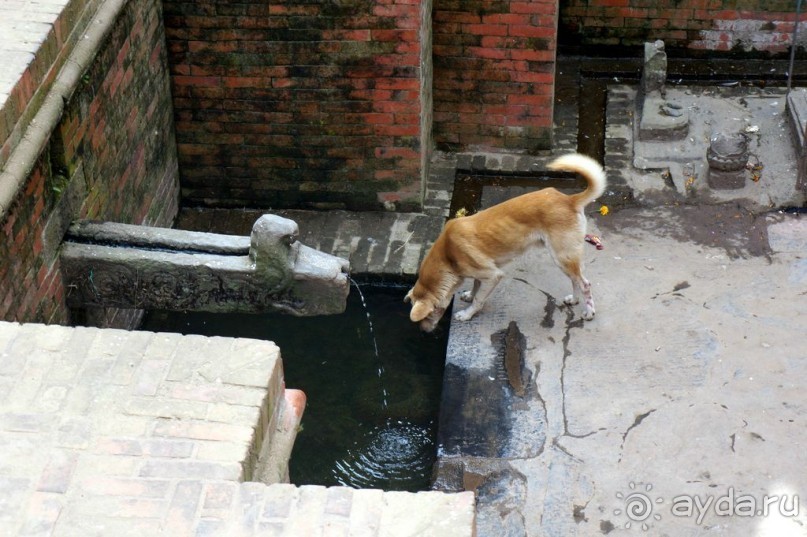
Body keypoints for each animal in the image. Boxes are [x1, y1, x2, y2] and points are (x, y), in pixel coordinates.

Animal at [404, 153, 608, 330]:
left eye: (427, 316)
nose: (424, 331)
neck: (448, 255)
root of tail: (569, 199)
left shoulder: (493, 276)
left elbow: (479, 299)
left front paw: (467, 314)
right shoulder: (481, 274)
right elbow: (476, 288)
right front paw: (469, 295)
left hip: (562, 257)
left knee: (585, 284)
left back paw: (589, 313)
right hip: (567, 259)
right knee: (576, 280)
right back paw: (574, 299)